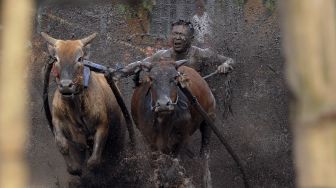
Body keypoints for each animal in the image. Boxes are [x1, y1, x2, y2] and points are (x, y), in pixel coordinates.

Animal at [41, 32, 125, 178]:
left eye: (79, 58)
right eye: (56, 58)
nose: (66, 86)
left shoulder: (103, 125)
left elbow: (94, 161)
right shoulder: (56, 118)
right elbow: (62, 144)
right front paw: (73, 168)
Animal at [130, 59, 214, 187]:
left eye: (174, 77)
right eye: (151, 78)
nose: (163, 104)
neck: (163, 122)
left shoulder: (182, 138)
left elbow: (171, 170)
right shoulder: (150, 142)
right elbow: (157, 170)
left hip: (208, 119)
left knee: (205, 153)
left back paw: (206, 180)